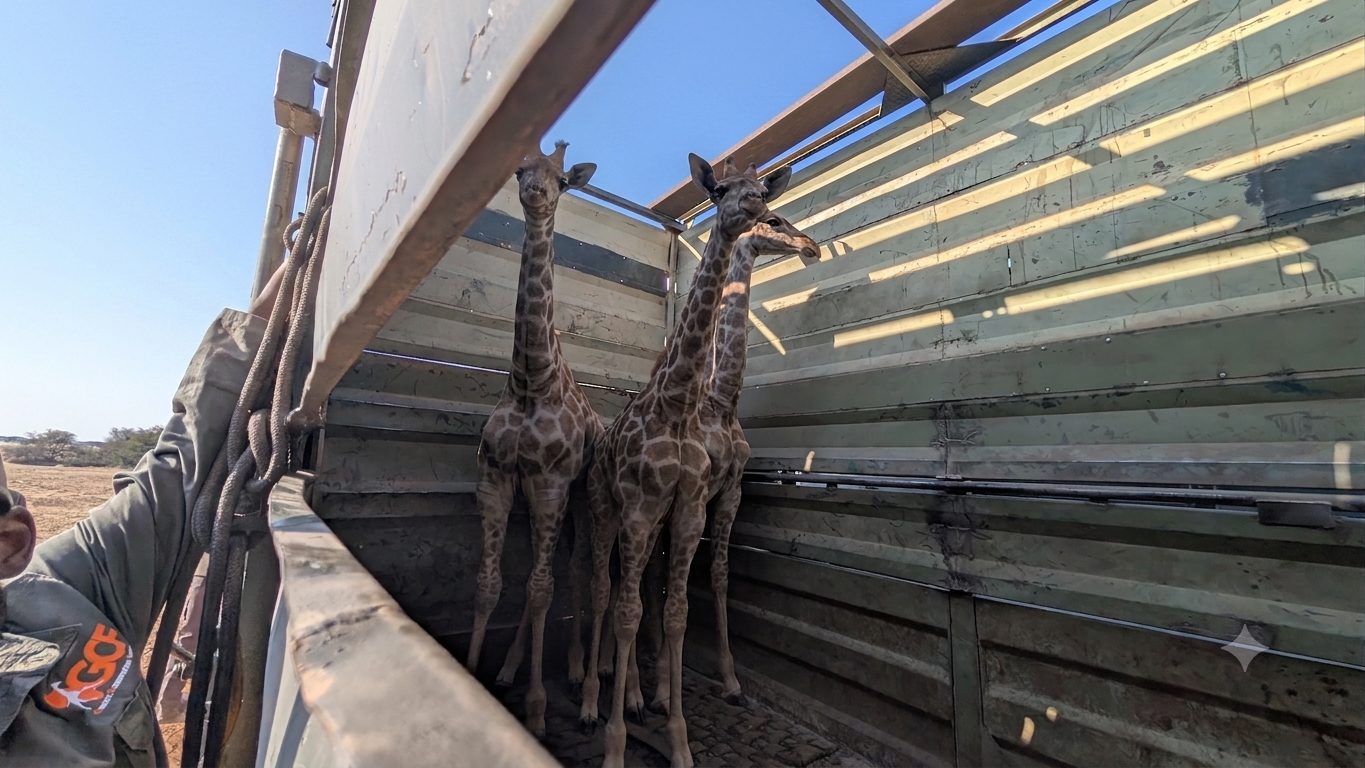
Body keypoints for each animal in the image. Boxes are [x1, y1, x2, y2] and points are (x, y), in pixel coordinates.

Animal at [579, 154, 795, 768]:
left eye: (762, 191)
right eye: (719, 189)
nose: (755, 209)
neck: (680, 405)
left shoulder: (692, 505)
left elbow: (676, 609)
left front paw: (677, 734)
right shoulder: (639, 507)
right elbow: (629, 609)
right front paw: (616, 742)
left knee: (633, 591)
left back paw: (632, 693)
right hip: (604, 510)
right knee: (602, 590)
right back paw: (593, 698)